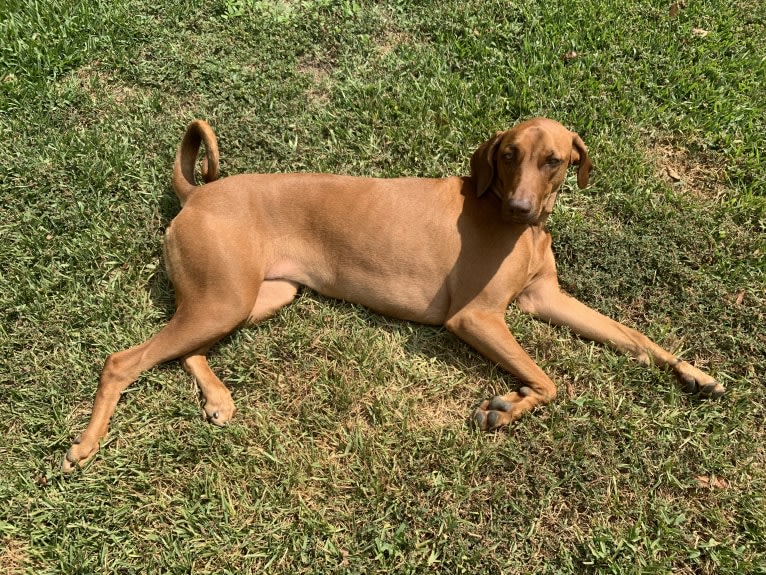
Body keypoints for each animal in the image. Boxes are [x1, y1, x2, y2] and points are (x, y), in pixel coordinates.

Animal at [61, 118, 728, 472]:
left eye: (555, 161)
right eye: (509, 154)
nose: (518, 208)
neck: (517, 228)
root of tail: (197, 193)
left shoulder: (545, 301)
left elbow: (634, 337)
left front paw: (694, 374)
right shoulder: (475, 318)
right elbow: (549, 381)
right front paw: (506, 407)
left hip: (254, 298)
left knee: (182, 348)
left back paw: (219, 399)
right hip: (222, 299)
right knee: (123, 360)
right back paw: (86, 444)